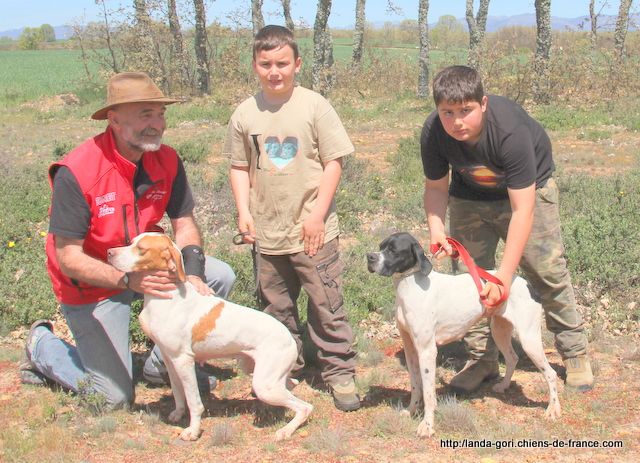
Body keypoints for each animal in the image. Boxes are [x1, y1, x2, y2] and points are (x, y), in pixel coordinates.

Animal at [108, 234, 312, 440]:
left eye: (141, 249)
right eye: (131, 241)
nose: (109, 253)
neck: (168, 296)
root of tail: (290, 338)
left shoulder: (184, 361)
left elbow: (194, 402)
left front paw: (192, 431)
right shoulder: (169, 359)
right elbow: (177, 393)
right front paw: (177, 414)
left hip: (265, 385)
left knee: (305, 407)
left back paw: (285, 430)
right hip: (258, 373)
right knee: (292, 385)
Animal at [364, 232, 560, 438]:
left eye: (393, 250)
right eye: (381, 246)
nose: (370, 257)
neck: (410, 285)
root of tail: (528, 284)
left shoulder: (427, 351)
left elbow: (428, 393)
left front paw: (427, 425)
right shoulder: (410, 349)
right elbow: (416, 386)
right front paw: (411, 411)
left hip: (529, 339)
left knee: (551, 373)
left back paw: (553, 409)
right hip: (500, 331)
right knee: (512, 358)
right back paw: (503, 385)